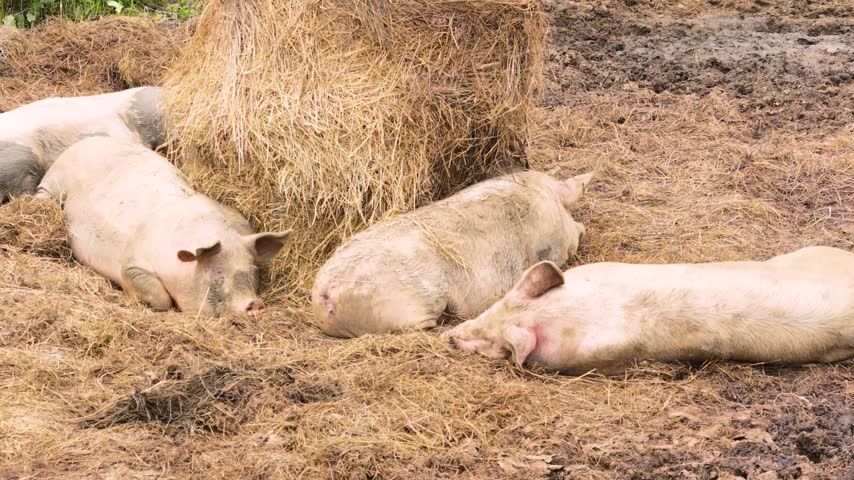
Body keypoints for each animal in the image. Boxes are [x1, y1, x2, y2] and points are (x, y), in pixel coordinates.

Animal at [36, 136, 291, 317]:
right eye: (217, 273)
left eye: (253, 271)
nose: (254, 303)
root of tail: (86, 141)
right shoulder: (132, 265)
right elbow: (161, 299)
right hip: (54, 183)